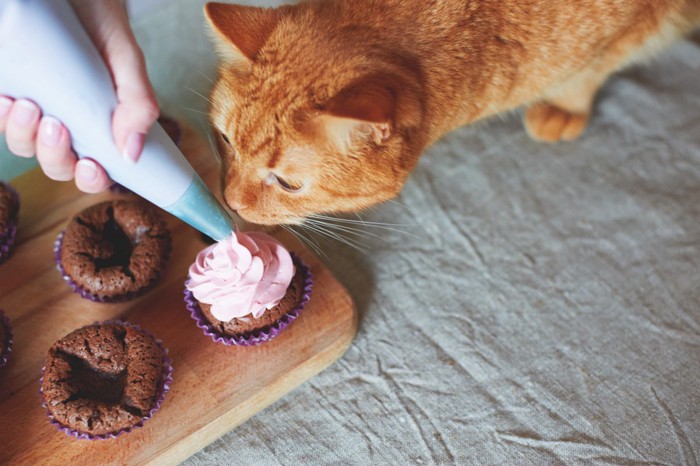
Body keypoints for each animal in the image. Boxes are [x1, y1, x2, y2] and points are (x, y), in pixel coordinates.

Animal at [204, 0, 700, 226]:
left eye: (288, 184)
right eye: (225, 140)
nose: (230, 201)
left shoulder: (634, 24)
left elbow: (589, 72)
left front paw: (564, 104)